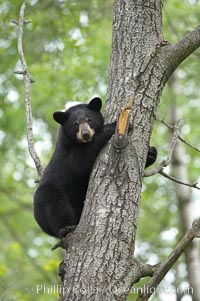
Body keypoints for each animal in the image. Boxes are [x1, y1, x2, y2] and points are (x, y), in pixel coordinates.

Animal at [34, 97, 156, 238]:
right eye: (75, 124)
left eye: (89, 119)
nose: (86, 134)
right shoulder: (68, 154)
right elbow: (80, 163)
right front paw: (114, 125)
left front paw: (151, 153)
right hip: (47, 195)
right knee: (55, 206)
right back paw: (66, 228)